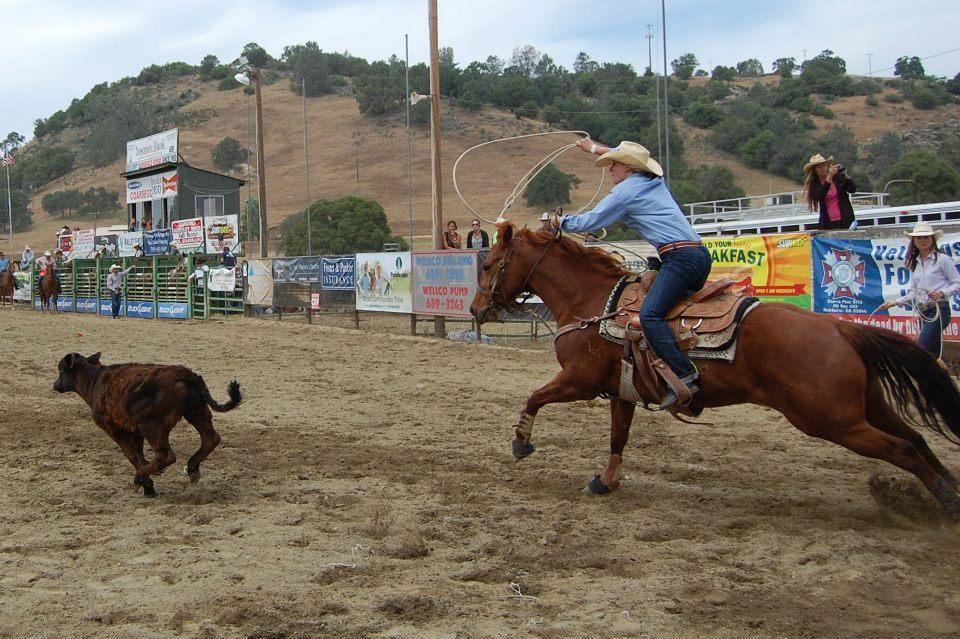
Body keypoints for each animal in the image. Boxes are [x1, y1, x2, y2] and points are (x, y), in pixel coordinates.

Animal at [54, 352, 242, 498]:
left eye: (60, 369)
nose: (55, 385)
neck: (94, 380)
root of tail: (187, 375)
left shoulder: (113, 427)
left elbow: (131, 455)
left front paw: (147, 485)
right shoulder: (134, 430)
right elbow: (138, 454)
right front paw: (149, 483)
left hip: (152, 426)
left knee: (166, 455)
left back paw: (139, 478)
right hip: (196, 411)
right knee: (211, 438)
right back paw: (192, 469)